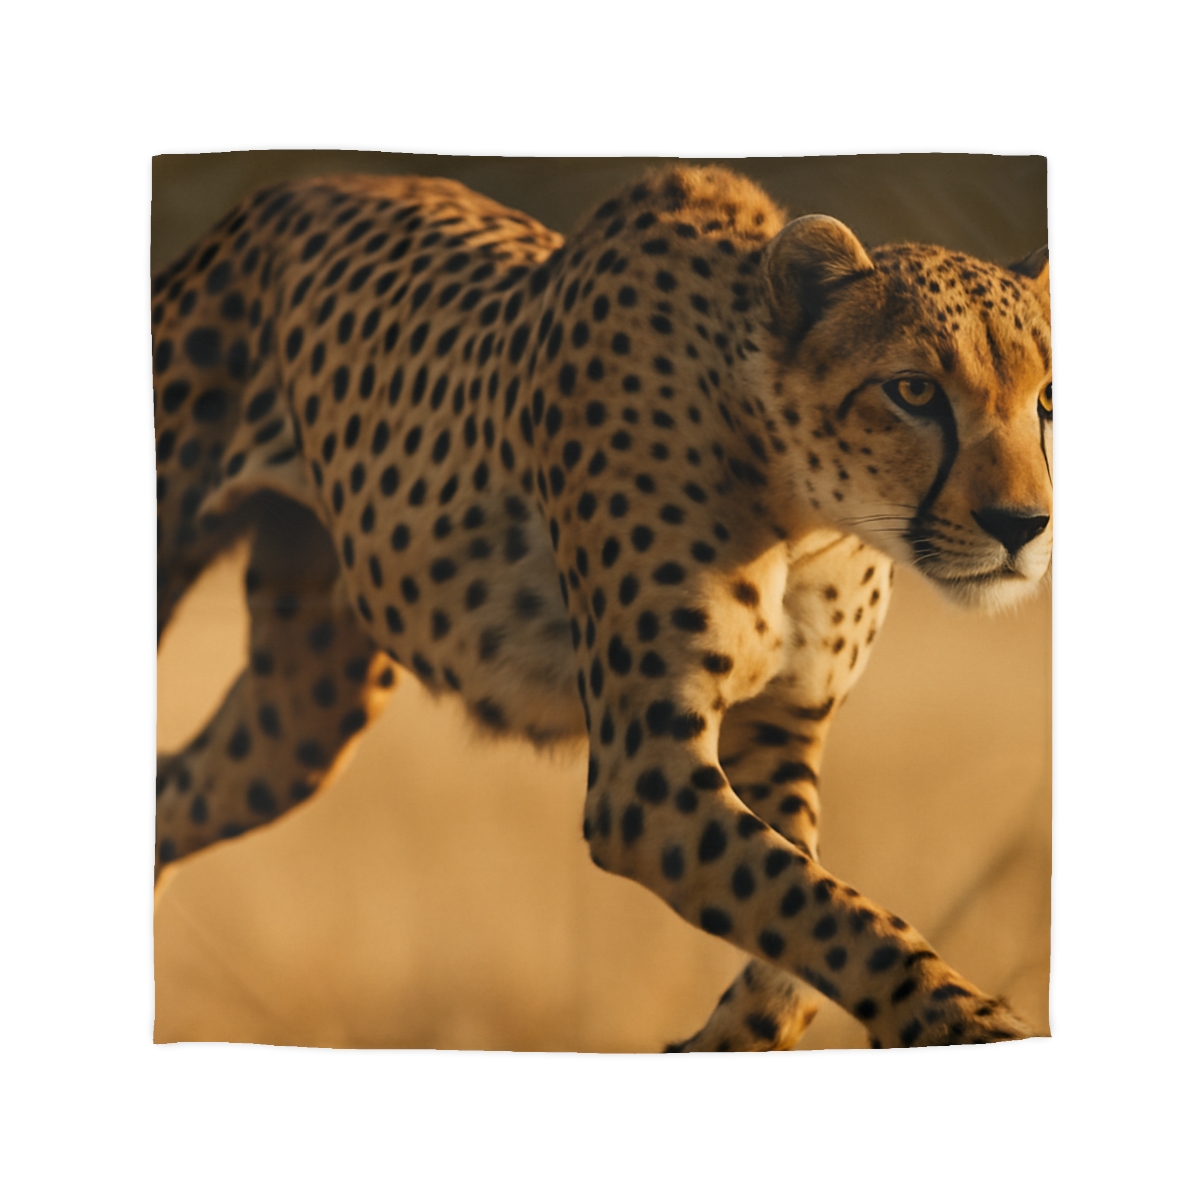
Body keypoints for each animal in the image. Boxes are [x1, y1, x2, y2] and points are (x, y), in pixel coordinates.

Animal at [152, 164, 1052, 1051]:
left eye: (1047, 401)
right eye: (915, 391)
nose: (1023, 525)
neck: (804, 507)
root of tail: (291, 185)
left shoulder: (781, 729)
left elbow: (805, 915)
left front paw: (719, 1041)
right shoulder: (645, 779)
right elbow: (819, 905)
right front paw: (965, 1021)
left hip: (304, 711)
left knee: (173, 788)